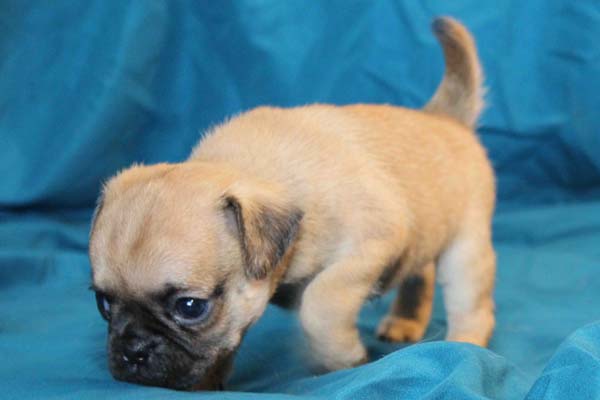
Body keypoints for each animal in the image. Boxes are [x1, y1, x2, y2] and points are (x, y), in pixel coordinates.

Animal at [89, 17, 496, 391]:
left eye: (190, 307)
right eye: (104, 304)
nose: (133, 349)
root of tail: (445, 119)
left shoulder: (371, 244)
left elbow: (319, 302)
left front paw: (344, 359)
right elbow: (223, 346)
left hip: (466, 250)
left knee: (471, 306)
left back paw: (464, 347)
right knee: (420, 272)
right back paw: (404, 323)